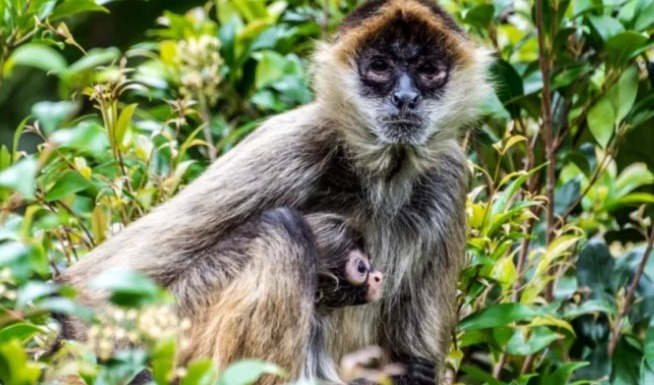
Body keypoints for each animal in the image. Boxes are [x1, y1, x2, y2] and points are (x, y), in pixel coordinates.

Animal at [59, 1, 492, 382]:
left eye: (429, 70)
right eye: (380, 68)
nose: (405, 98)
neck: (383, 178)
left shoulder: (449, 173)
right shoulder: (298, 139)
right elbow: (87, 294)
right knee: (283, 229)